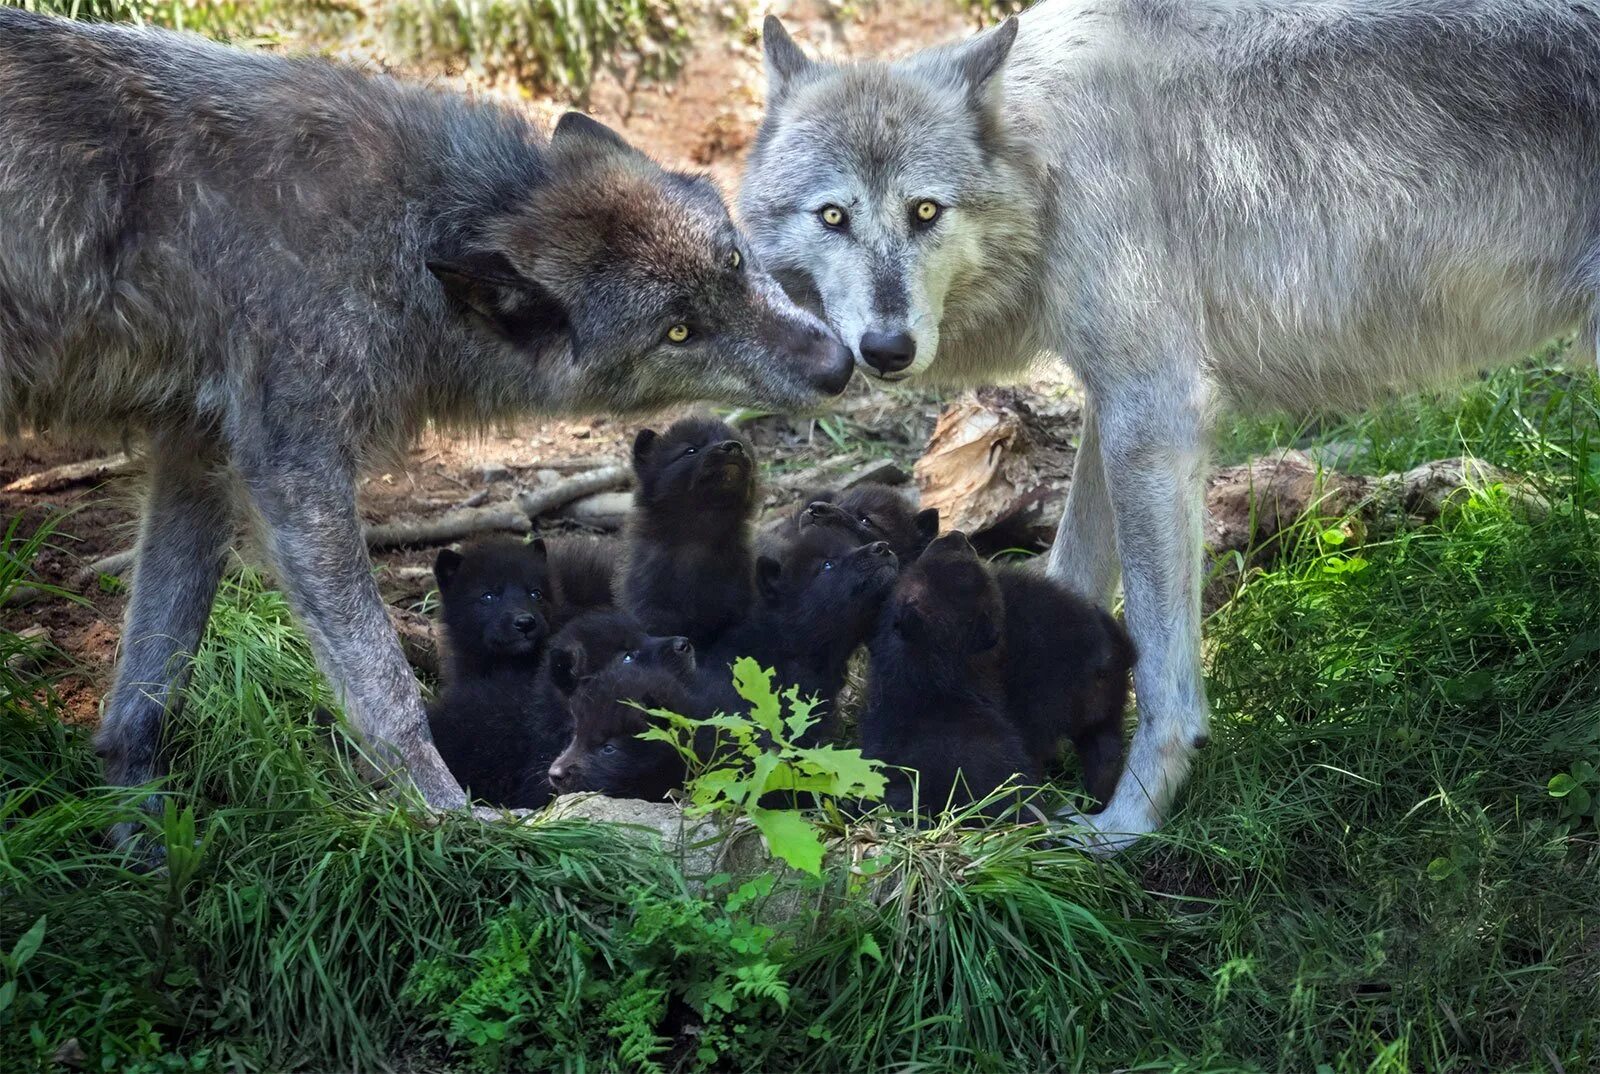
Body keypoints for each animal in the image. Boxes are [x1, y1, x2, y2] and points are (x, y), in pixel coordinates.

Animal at [0, 6, 857, 838]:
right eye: (678, 331)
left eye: (733, 263)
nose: (838, 364)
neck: (407, 232)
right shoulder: (293, 465)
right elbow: (386, 688)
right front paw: (451, 819)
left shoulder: (197, 454)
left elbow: (147, 692)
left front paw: (141, 842)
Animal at [739, 0, 1600, 851]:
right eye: (833, 216)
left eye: (925, 211)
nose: (886, 349)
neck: (1047, 161)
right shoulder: (1115, 404)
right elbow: (1070, 568)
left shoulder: (1154, 414)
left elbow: (1161, 673)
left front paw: (1127, 823)